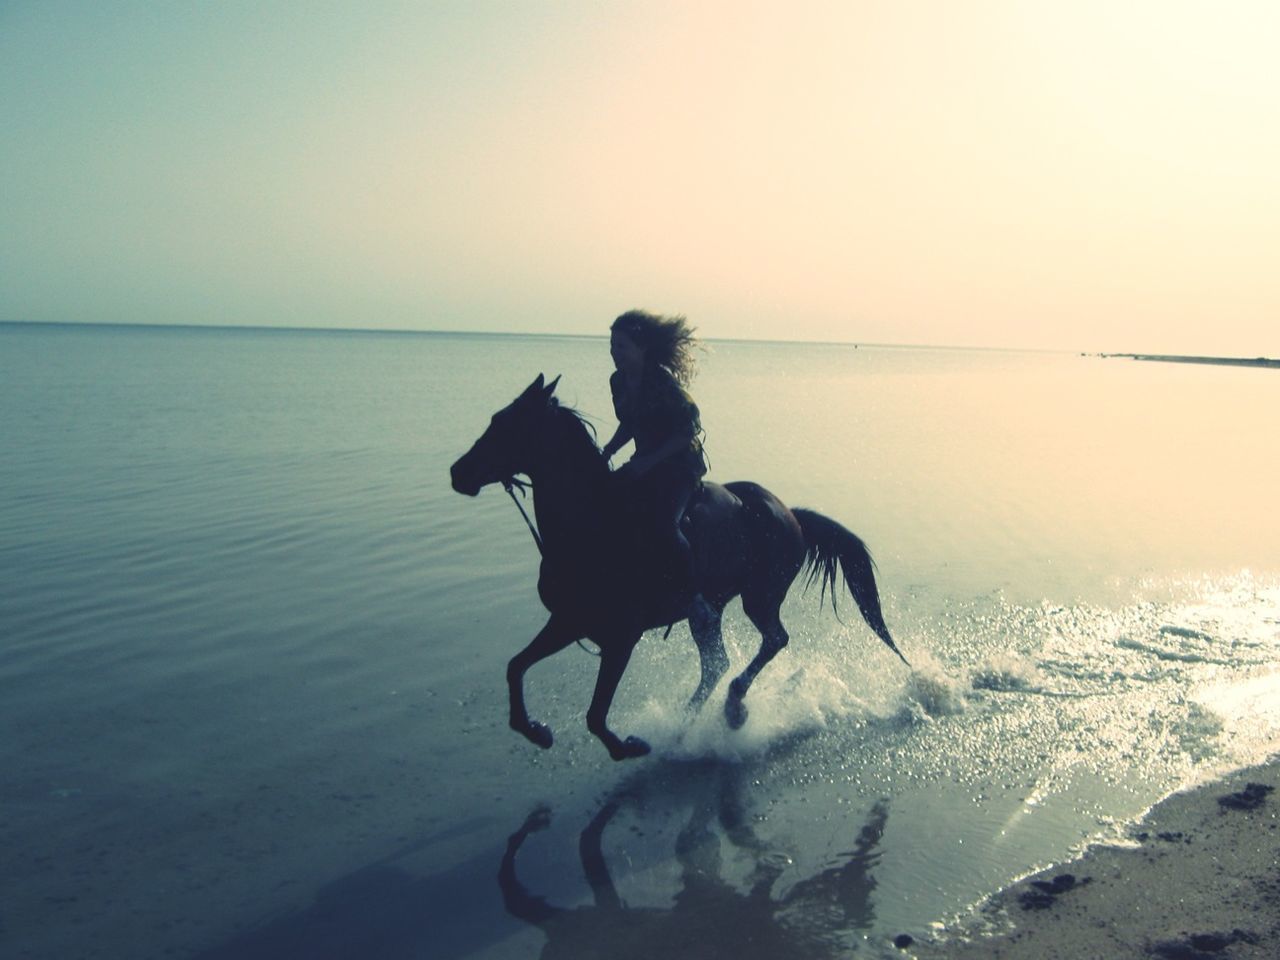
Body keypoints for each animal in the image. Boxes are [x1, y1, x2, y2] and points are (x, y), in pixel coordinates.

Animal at [453, 376, 911, 757]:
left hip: (759, 597)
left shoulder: (621, 637)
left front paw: (628, 747)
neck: (592, 525)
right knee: (717, 664)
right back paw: (691, 722)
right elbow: (515, 667)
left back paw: (730, 708)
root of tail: (791, 514)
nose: (459, 472)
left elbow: (596, 715)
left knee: (772, 641)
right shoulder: (568, 621)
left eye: (505, 425)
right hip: (712, 609)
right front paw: (536, 730)